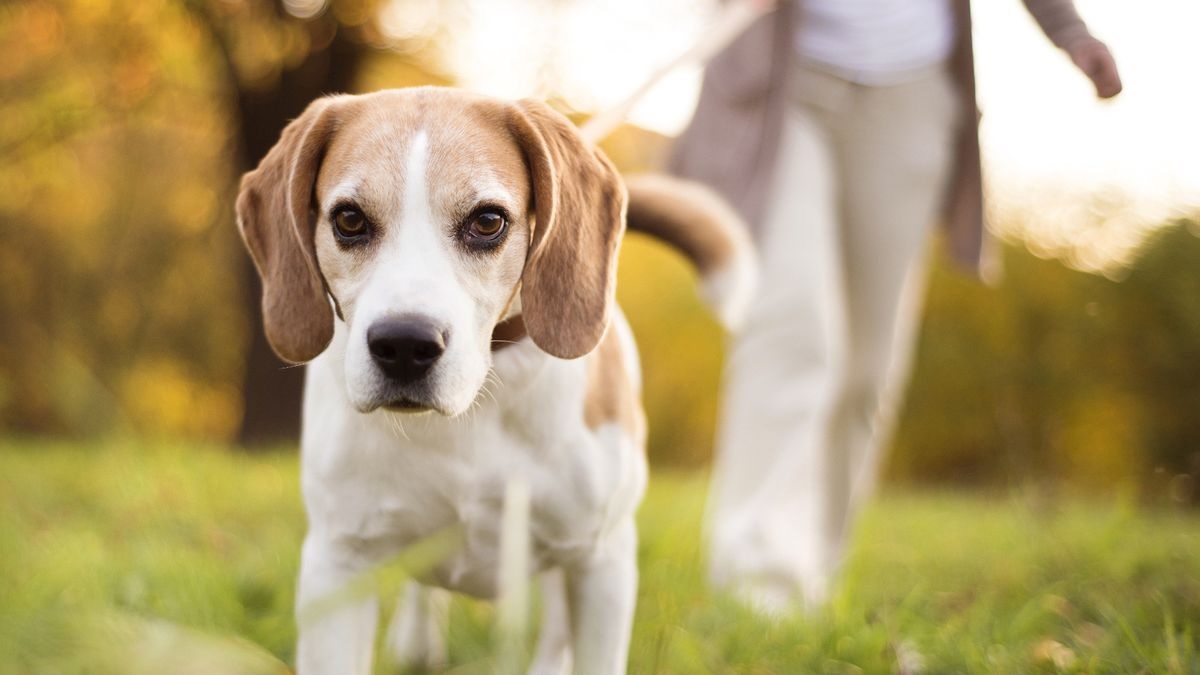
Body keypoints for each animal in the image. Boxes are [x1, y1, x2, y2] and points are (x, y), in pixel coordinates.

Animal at [235, 86, 753, 667]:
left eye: (487, 221)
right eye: (348, 220)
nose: (404, 345)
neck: (476, 406)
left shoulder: (602, 563)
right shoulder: (337, 564)